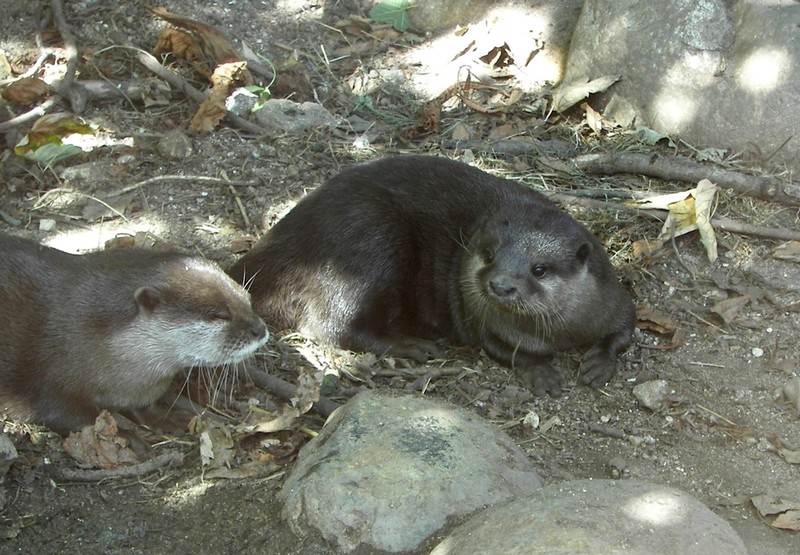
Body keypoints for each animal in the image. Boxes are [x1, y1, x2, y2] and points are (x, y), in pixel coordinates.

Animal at [0, 235, 270, 434]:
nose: (260, 329)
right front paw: (127, 436)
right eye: (219, 315)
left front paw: (163, 418)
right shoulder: (45, 377)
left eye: (246, 298)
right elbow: (67, 414)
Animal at [228, 156, 636, 398]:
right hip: (372, 236)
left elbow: (625, 329)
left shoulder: (613, 297)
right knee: (332, 325)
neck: (559, 333)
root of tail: (279, 244)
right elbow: (506, 351)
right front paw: (541, 372)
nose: (500, 284)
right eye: (489, 255)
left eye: (539, 268)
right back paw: (412, 346)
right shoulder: (484, 325)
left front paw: (599, 362)